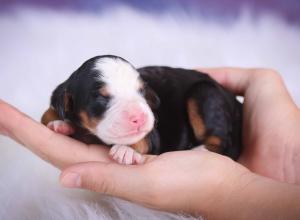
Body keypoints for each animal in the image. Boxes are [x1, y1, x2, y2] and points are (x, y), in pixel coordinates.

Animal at [41, 55, 243, 164]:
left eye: (141, 91)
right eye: (101, 98)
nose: (139, 117)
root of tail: (234, 100)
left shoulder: (153, 134)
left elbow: (144, 139)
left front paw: (127, 151)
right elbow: (46, 114)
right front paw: (60, 123)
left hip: (204, 93)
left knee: (222, 142)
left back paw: (198, 151)